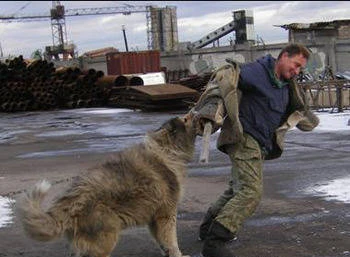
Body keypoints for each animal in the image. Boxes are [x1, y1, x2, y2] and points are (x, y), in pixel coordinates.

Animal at [17, 114, 197, 256]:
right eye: (185, 119)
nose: (195, 113)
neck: (167, 150)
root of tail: (70, 201)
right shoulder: (166, 215)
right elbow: (171, 241)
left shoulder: (154, 220)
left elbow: (163, 243)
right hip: (106, 237)